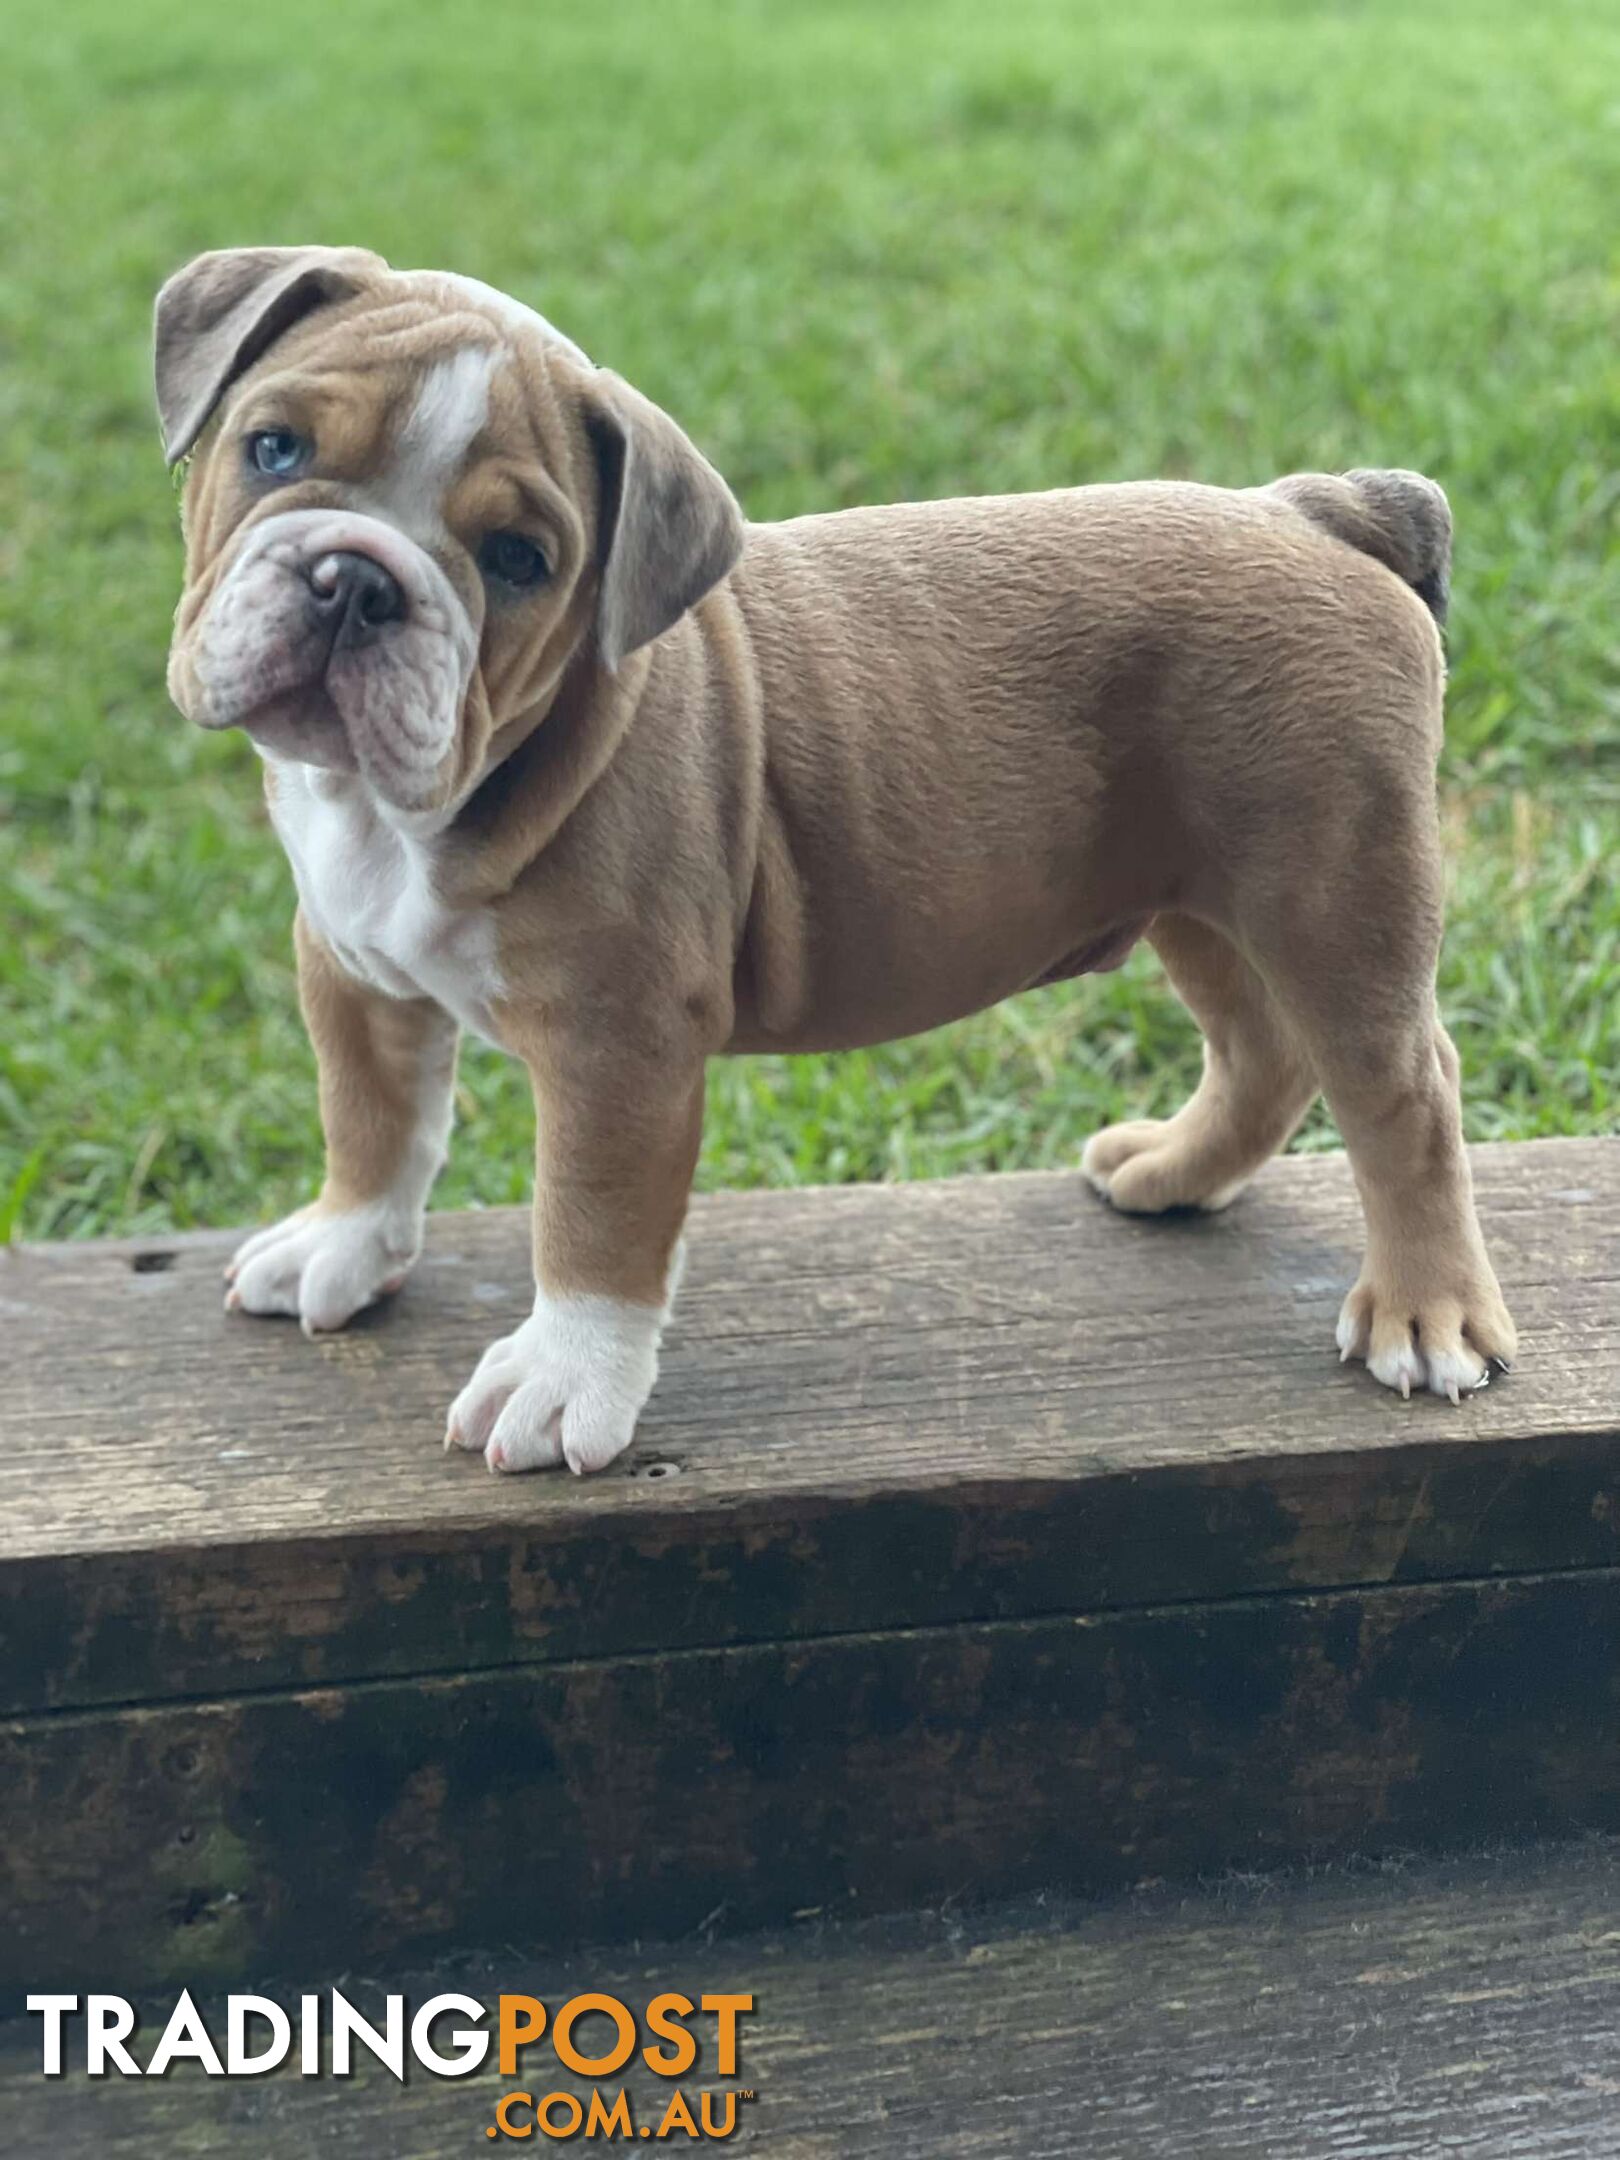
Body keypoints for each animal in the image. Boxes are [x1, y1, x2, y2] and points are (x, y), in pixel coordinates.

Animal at [155, 248, 1520, 1468]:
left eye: (519, 562)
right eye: (273, 450)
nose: (354, 580)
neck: (397, 810)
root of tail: (1319, 509)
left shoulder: (617, 1045)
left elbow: (590, 1221)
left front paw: (561, 1381)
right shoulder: (351, 970)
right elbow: (371, 1121)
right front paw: (339, 1246)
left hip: (1332, 893)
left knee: (1403, 1092)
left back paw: (1427, 1314)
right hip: (1202, 898)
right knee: (1263, 1052)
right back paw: (1174, 1173)